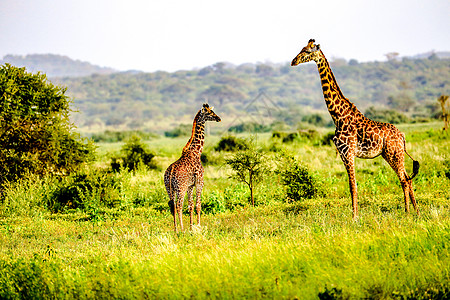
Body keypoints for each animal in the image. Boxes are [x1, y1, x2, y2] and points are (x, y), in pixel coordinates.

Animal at [165, 103, 221, 232]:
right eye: (209, 113)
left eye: (212, 111)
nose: (218, 118)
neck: (196, 151)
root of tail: (170, 173)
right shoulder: (200, 182)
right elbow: (198, 205)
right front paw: (198, 226)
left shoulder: (190, 185)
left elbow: (190, 206)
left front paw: (191, 227)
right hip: (180, 188)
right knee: (179, 205)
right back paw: (181, 229)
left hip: (169, 189)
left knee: (172, 205)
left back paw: (175, 229)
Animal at [290, 38, 420, 219]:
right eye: (302, 48)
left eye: (308, 51)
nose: (293, 61)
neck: (338, 116)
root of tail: (402, 136)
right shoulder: (343, 154)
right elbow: (352, 185)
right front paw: (355, 215)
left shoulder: (348, 152)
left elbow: (353, 186)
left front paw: (355, 218)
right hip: (390, 154)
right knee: (407, 178)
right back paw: (415, 212)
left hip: (394, 153)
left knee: (404, 179)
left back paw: (408, 212)